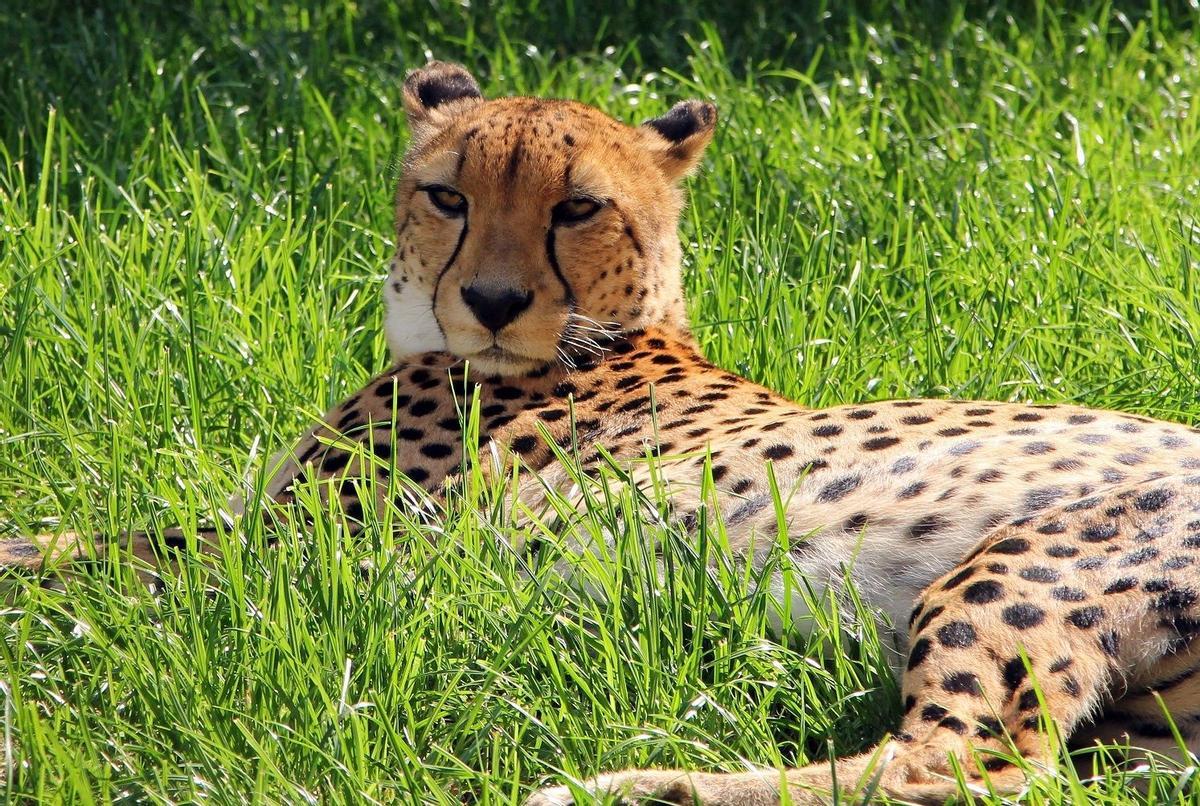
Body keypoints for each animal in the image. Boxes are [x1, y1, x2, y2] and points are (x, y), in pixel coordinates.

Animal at [5, 62, 1200, 804]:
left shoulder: (310, 551)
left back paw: (619, 787)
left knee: (953, 771)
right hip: (1146, 735)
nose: (490, 300)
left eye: (577, 208)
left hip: (1010, 570)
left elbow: (75, 550)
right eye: (446, 195)